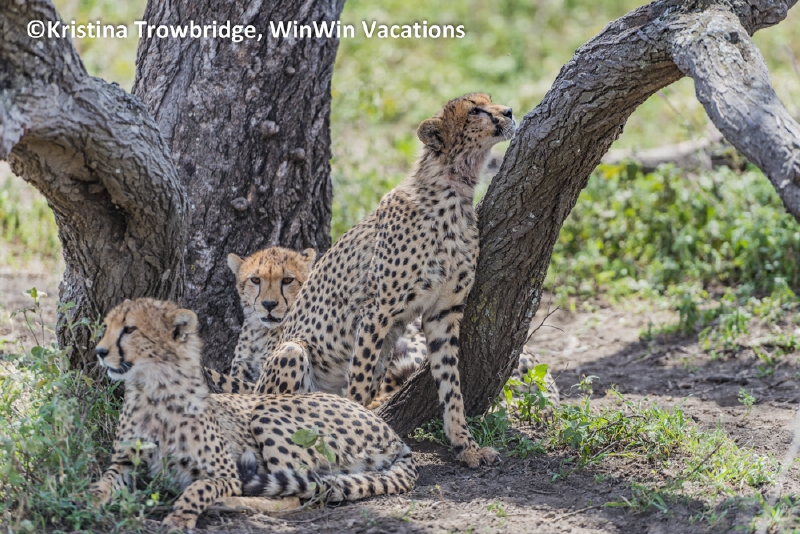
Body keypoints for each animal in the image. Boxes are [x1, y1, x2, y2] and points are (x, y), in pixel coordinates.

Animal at [91, 298, 416, 530]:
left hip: (267, 410)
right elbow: (103, 482)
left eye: (130, 329)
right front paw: (86, 500)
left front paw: (180, 517)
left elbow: (200, 487)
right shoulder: (124, 463)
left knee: (299, 493)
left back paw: (227, 502)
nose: (99, 351)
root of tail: (392, 434)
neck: (153, 393)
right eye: (107, 326)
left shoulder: (224, 472)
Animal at [254, 93, 516, 468]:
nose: (509, 112)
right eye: (475, 110)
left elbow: (451, 385)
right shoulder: (376, 312)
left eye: (490, 101)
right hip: (292, 353)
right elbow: (359, 385)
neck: (454, 191)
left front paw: (465, 446)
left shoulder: (443, 313)